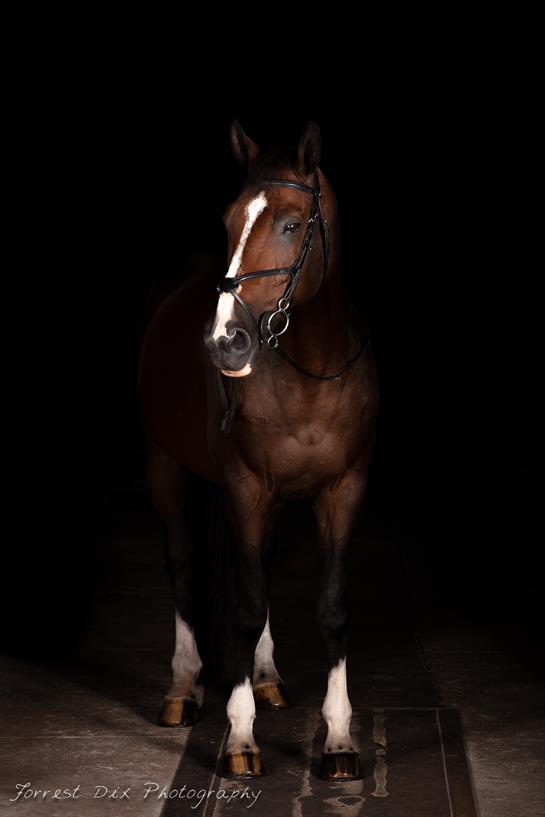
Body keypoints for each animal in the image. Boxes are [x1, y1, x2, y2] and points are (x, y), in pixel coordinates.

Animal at [138, 120, 379, 781]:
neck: (311, 368)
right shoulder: (246, 487)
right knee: (183, 564)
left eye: (293, 225)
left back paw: (268, 678)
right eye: (228, 221)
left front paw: (339, 740)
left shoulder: (343, 489)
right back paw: (183, 687)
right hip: (165, 467)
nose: (226, 340)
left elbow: (332, 608)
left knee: (260, 569)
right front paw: (241, 737)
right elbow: (243, 607)